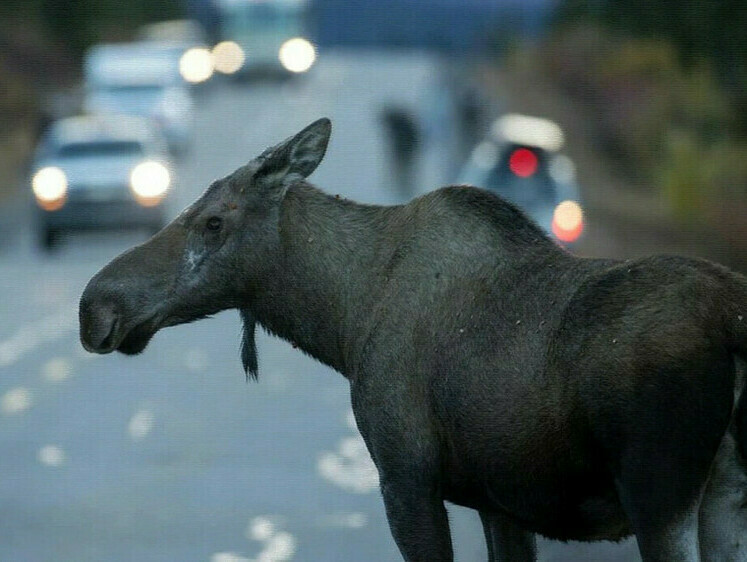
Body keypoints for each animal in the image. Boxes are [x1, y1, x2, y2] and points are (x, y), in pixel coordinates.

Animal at [82, 116, 747, 556]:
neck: (343, 319)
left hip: (660, 494)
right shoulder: (500, 503)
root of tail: (734, 326)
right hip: (724, 500)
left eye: (214, 222)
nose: (95, 306)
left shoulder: (406, 473)